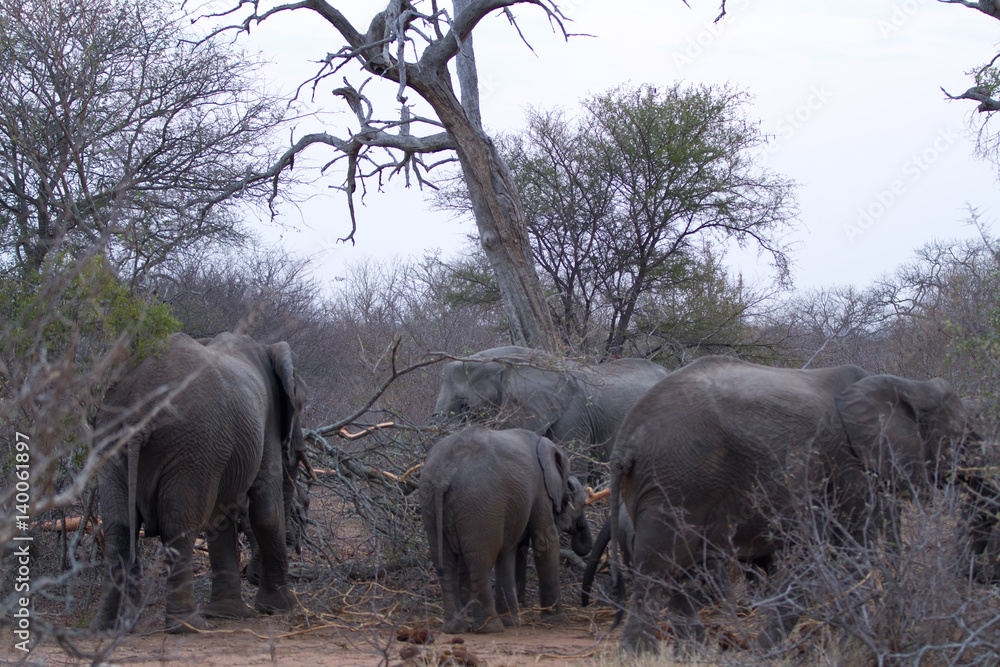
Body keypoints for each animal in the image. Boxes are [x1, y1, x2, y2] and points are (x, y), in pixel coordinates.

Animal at [90, 332, 308, 633]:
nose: (252, 575)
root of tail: (138, 410)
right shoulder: (267, 422)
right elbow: (265, 510)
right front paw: (281, 607)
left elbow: (221, 518)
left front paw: (229, 615)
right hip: (193, 446)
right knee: (178, 528)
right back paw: (188, 625)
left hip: (111, 444)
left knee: (118, 531)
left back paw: (107, 628)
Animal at [420, 425, 593, 634]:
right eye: (573, 497)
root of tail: (443, 474)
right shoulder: (540, 489)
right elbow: (544, 542)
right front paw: (558, 621)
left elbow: (513, 550)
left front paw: (513, 621)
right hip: (479, 506)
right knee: (480, 563)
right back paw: (490, 628)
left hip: (431, 501)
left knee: (446, 564)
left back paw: (456, 628)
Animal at [608, 355, 975, 653]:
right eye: (964, 438)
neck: (907, 386)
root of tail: (626, 438)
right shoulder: (849, 463)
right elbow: (853, 551)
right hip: (680, 478)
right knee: (659, 568)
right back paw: (638, 654)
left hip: (675, 483)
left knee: (682, 569)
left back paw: (692, 653)